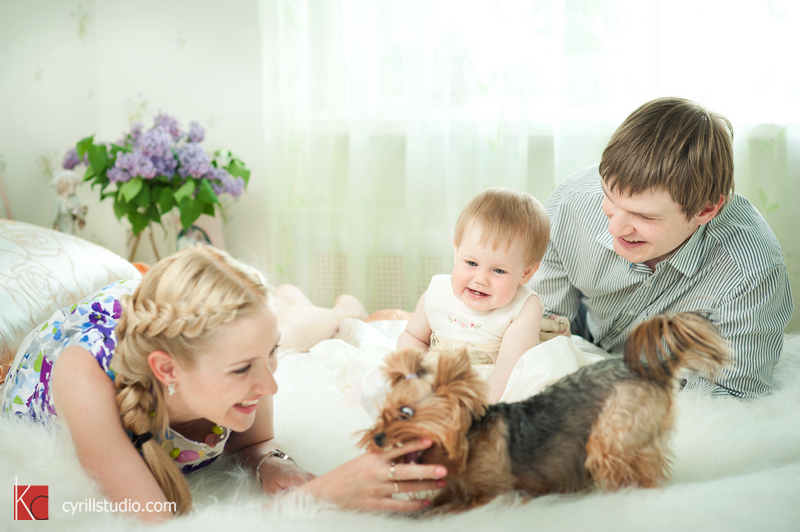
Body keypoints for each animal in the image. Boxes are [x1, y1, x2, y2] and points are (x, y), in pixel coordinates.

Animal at [359, 312, 729, 513]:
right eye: (382, 414)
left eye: (406, 413)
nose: (376, 438)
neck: (465, 440)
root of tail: (654, 369)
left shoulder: (494, 493)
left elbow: (454, 507)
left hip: (611, 437)